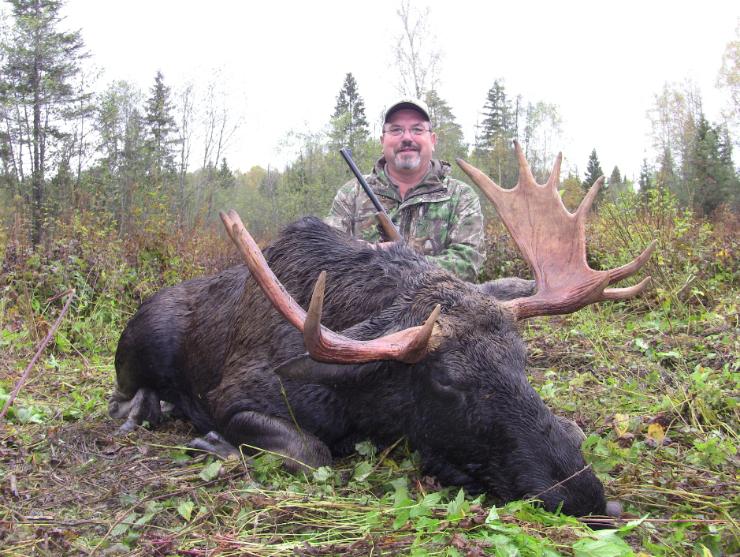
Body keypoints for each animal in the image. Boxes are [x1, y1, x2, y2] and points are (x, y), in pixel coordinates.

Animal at [108, 144, 652, 516]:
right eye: (447, 381)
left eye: (524, 360)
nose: (583, 495)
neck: (367, 398)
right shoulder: (234, 394)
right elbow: (312, 452)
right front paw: (213, 443)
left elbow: (574, 426)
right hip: (144, 335)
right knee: (124, 391)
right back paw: (142, 409)